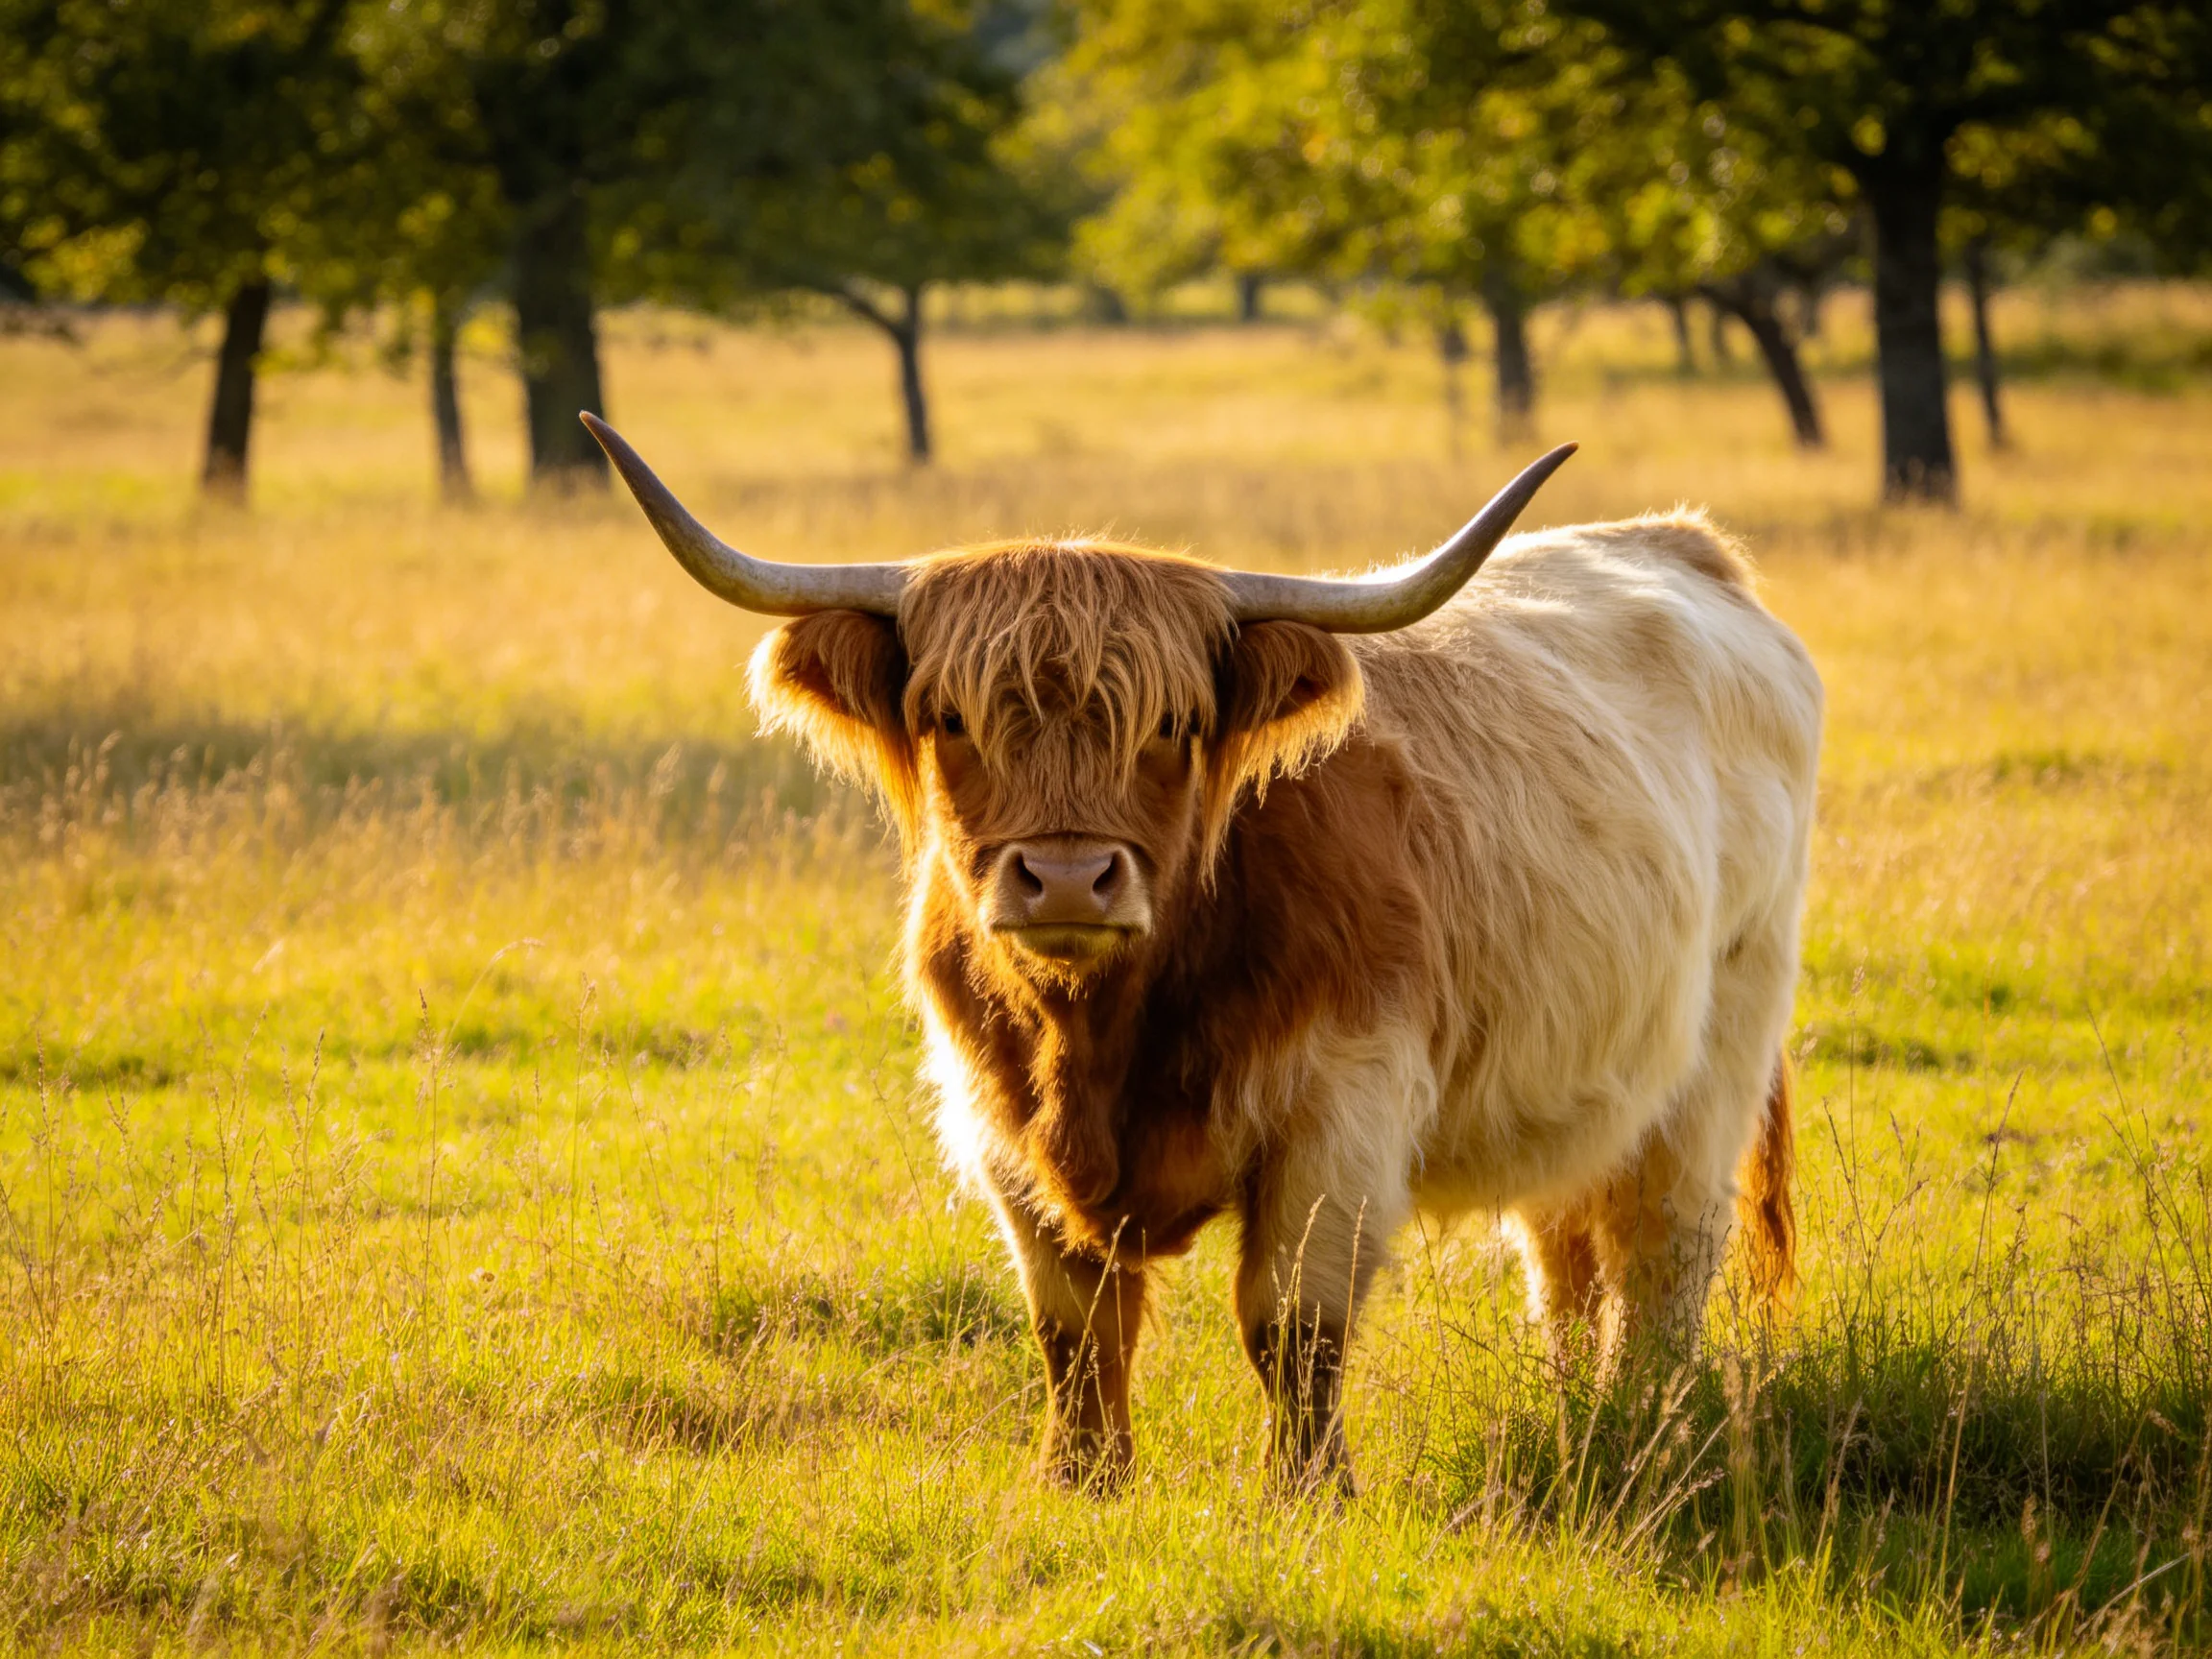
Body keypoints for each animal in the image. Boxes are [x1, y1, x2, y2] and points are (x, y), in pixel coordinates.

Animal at [580, 412, 1823, 1494]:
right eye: (952, 718)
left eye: (1173, 725)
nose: (1067, 878)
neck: (1099, 1039)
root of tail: (1680, 543)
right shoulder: (998, 1123)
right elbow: (1074, 1327)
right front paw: (1080, 1483)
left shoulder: (1340, 1111)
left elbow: (1291, 1324)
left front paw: (1307, 1495)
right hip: (1576, 1078)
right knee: (1566, 1248)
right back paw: (1576, 1409)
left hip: (1724, 1038)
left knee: (1662, 1245)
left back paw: (1643, 1422)